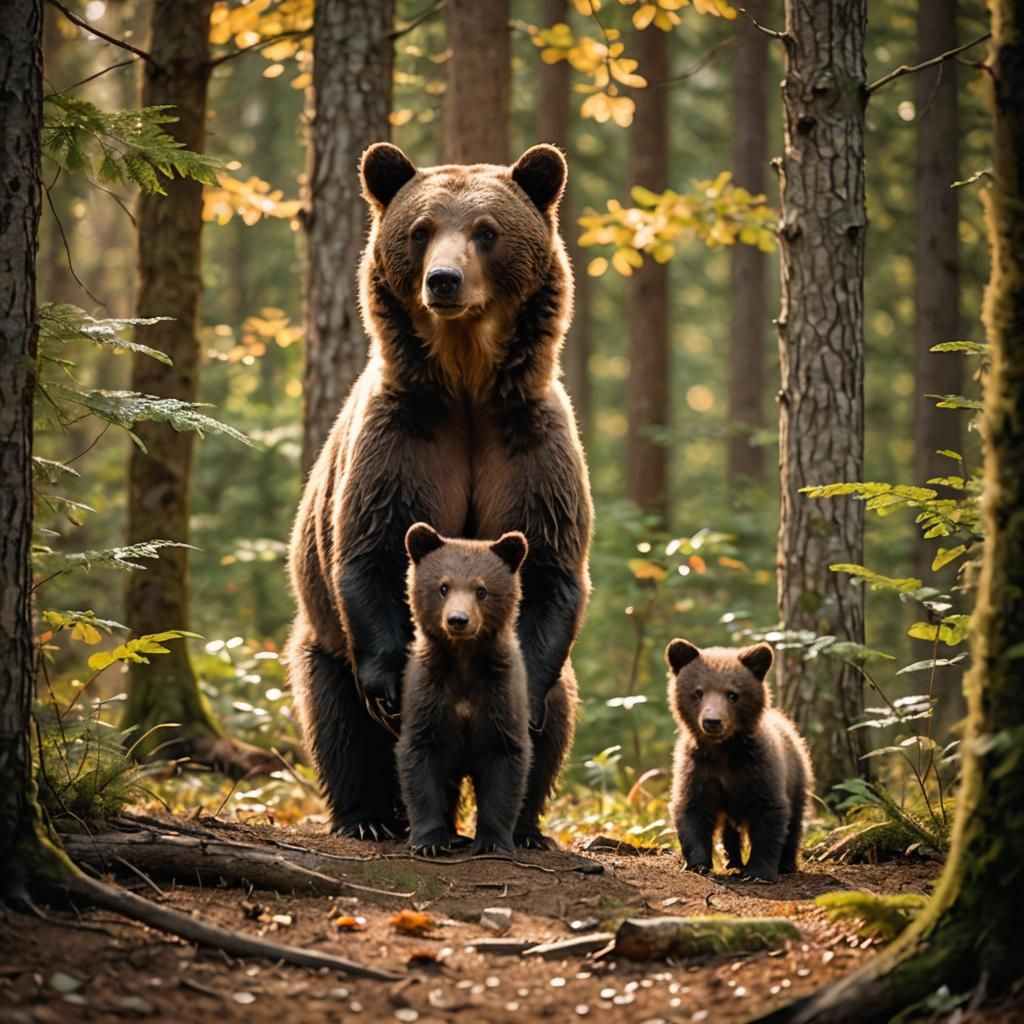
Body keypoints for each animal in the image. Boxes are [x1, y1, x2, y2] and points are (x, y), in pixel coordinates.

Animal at [397, 523, 531, 857]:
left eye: (481, 590)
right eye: (443, 587)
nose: (458, 619)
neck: (464, 660)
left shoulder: (499, 692)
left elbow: (506, 758)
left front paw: (493, 841)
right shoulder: (429, 692)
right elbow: (420, 759)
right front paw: (430, 841)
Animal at [665, 639, 813, 882]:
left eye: (733, 694)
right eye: (698, 692)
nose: (712, 721)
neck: (724, 751)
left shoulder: (758, 768)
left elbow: (769, 814)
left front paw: (759, 872)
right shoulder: (699, 769)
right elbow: (692, 809)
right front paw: (697, 864)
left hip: (797, 775)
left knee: (794, 820)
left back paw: (787, 863)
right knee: (729, 828)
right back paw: (732, 860)